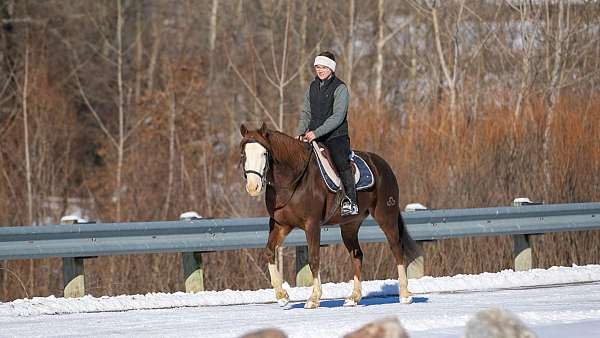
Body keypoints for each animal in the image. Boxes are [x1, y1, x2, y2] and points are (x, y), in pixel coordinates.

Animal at [238, 124, 418, 308]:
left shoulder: (312, 224)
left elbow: (313, 258)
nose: (253, 187)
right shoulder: (281, 225)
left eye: (264, 153)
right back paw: (354, 297)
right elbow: (269, 252)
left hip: (386, 216)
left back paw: (405, 294)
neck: (293, 181)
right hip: (350, 226)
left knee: (397, 248)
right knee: (357, 255)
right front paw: (282, 295)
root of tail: (382, 165)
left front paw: (314, 298)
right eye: (243, 154)